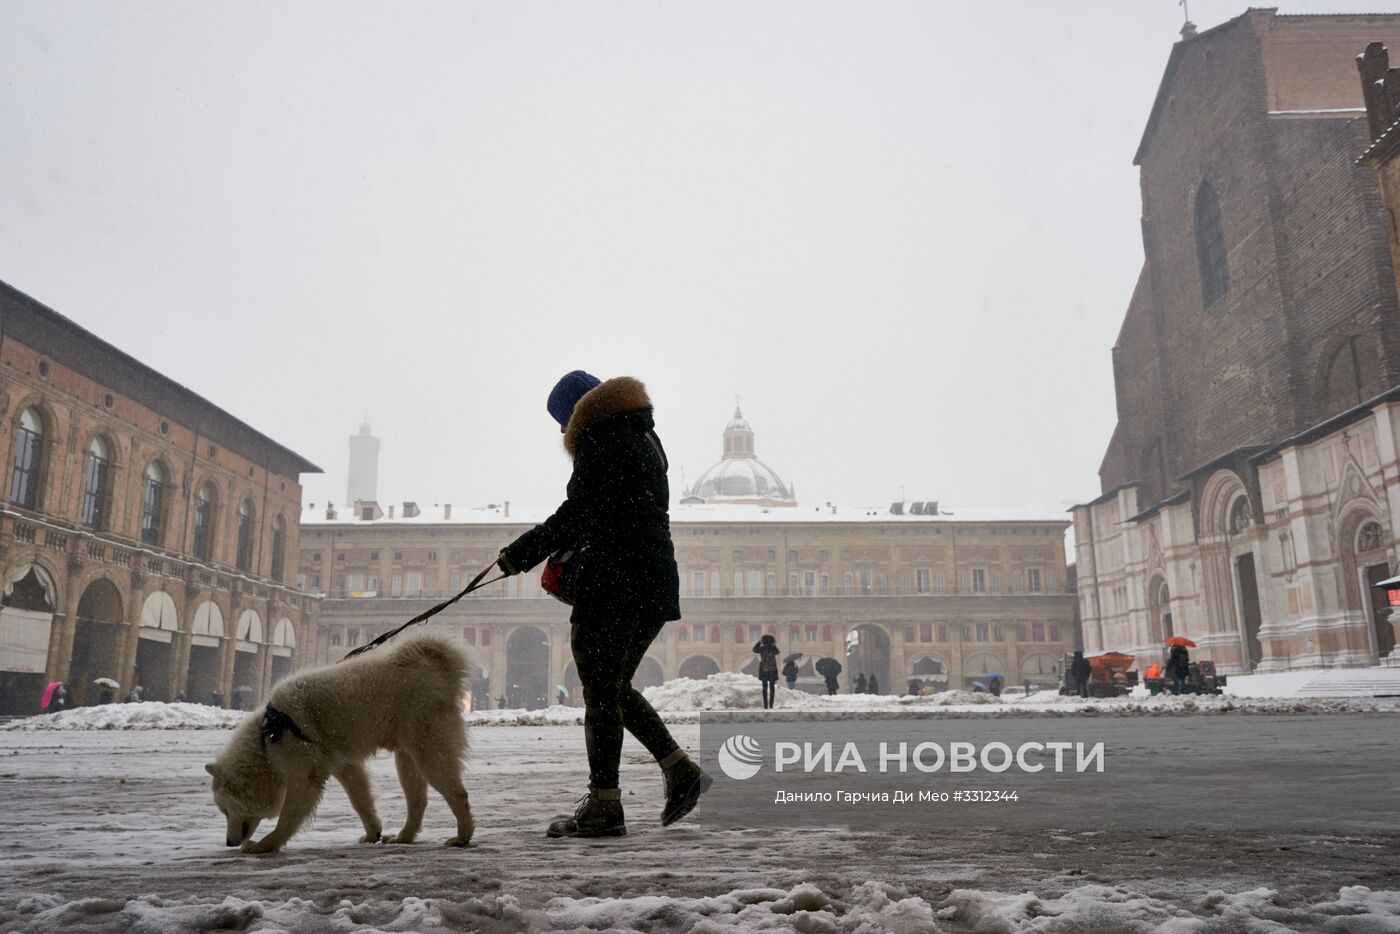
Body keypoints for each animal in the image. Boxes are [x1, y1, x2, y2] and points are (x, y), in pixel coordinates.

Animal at [204, 635, 476, 856]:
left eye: (225, 810)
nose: (229, 842)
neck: (267, 735)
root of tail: (438, 667)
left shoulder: (305, 776)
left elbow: (288, 817)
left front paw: (265, 845)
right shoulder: (343, 765)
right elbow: (360, 801)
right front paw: (373, 833)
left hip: (429, 751)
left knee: (458, 794)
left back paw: (462, 836)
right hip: (407, 757)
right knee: (418, 802)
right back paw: (403, 837)